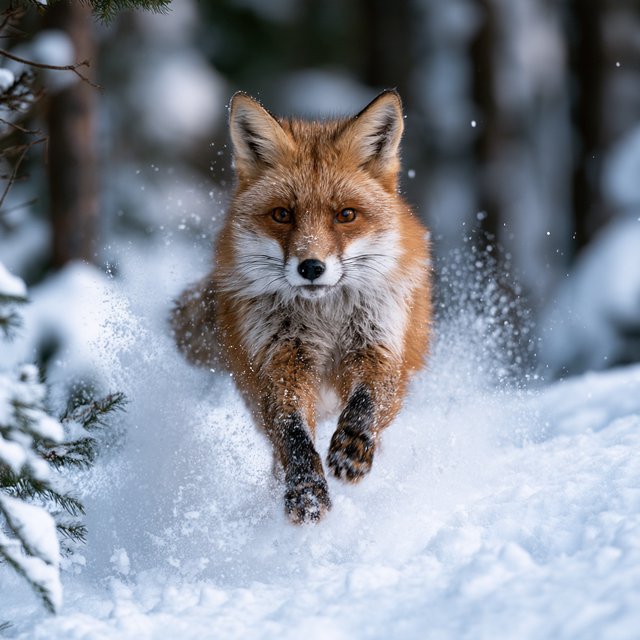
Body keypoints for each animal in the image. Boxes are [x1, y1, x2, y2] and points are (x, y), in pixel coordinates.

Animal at [171, 90, 432, 524]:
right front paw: (306, 490)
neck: (325, 320)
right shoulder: (279, 361)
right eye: (282, 214)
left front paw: (353, 447)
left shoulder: (379, 346)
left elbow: (369, 399)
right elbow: (292, 432)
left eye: (346, 215)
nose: (311, 267)